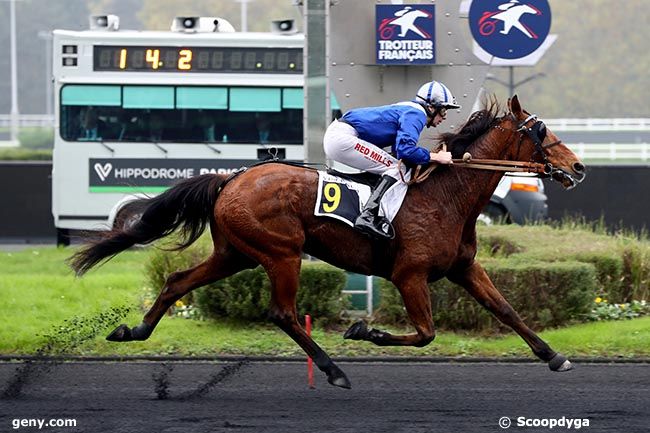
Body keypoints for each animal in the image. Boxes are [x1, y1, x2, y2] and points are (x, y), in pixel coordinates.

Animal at [69, 95, 584, 388]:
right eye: (540, 131)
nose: (578, 167)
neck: (446, 195)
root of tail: (231, 178)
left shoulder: (463, 267)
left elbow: (506, 309)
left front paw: (554, 356)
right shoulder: (409, 274)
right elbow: (425, 333)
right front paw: (363, 331)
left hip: (235, 254)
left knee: (178, 281)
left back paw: (133, 331)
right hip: (281, 253)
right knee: (282, 313)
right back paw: (334, 371)